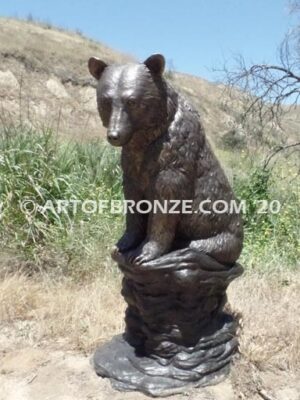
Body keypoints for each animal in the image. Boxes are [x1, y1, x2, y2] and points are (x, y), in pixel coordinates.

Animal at [88, 53, 243, 266]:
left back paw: (184, 251)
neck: (146, 138)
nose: (114, 135)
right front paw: (122, 245)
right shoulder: (132, 166)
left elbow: (165, 206)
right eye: (106, 101)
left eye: (132, 101)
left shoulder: (174, 158)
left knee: (209, 245)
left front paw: (144, 253)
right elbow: (133, 203)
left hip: (225, 228)